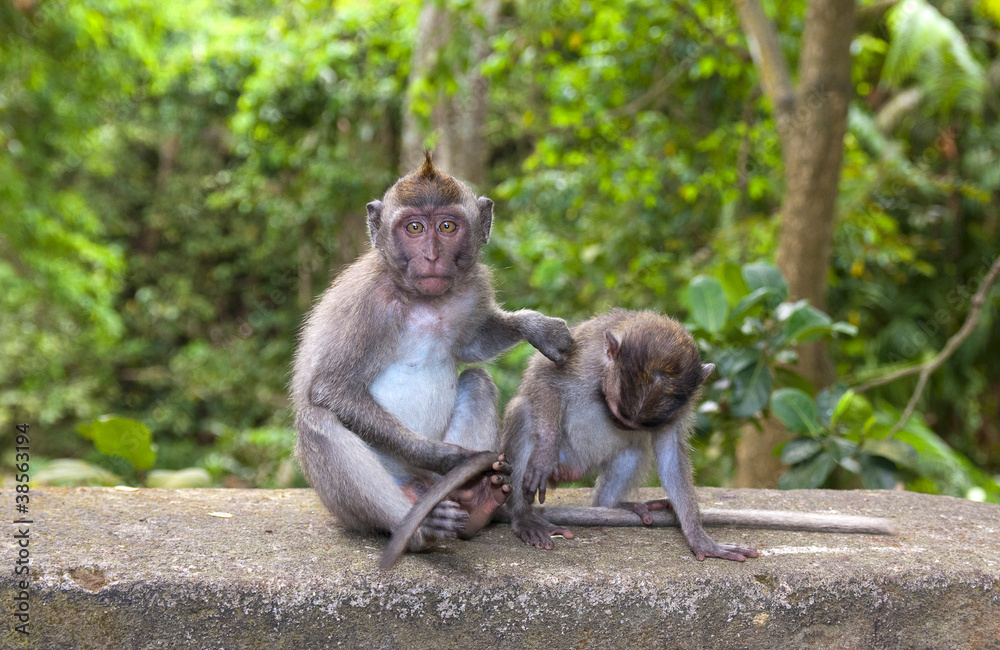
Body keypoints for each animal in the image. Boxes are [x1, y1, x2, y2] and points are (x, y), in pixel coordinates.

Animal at [290, 153, 573, 555]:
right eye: (414, 228)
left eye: (446, 226)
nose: (432, 255)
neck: (422, 300)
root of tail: (420, 488)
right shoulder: (365, 302)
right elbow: (330, 388)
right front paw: (446, 457)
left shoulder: (473, 287)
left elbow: (472, 344)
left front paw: (534, 326)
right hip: (357, 502)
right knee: (317, 422)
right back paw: (420, 527)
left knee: (479, 380)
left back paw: (475, 499)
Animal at [500, 309, 896, 561]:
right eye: (615, 411)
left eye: (637, 421)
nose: (624, 425)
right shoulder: (581, 354)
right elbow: (544, 380)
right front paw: (543, 456)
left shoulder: (678, 406)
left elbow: (669, 451)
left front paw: (698, 537)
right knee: (524, 412)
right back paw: (523, 515)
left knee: (633, 451)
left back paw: (614, 505)